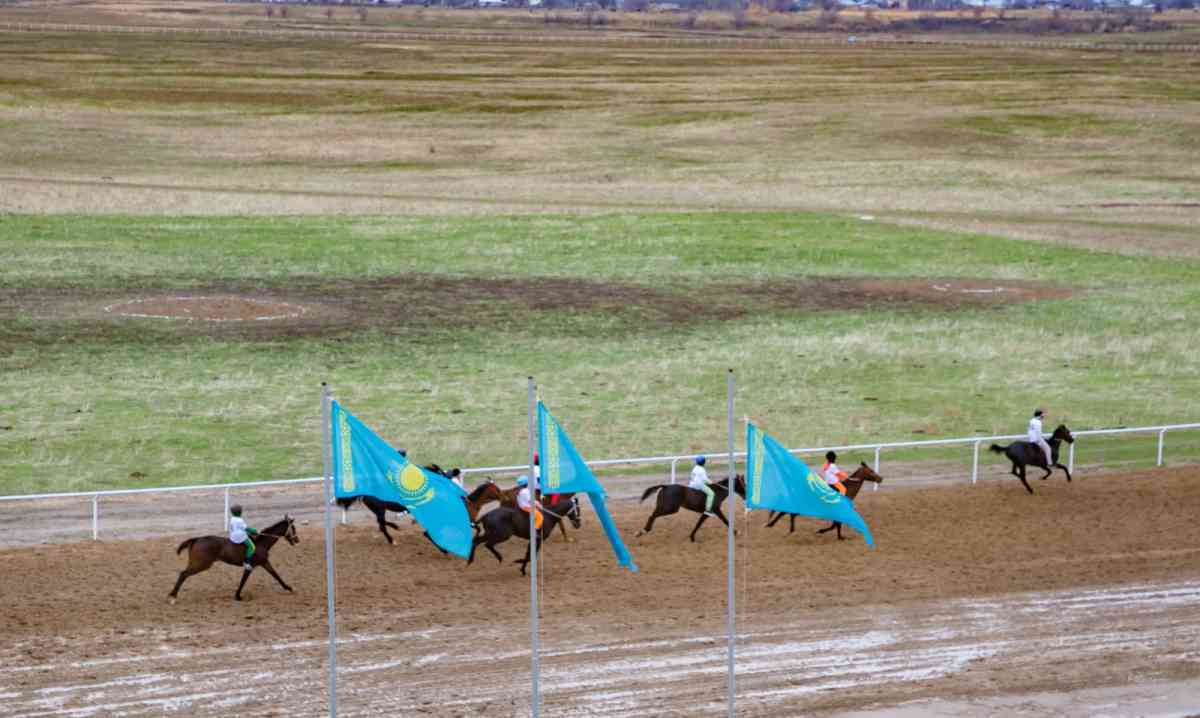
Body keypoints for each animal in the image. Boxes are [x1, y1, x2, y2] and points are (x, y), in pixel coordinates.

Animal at [169, 513, 300, 605]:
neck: (261, 543)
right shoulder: (251, 566)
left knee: (183, 574)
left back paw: (172, 595)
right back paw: (173, 597)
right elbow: (244, 581)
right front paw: (238, 596)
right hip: (201, 564)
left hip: (197, 563)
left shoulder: (264, 563)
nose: (297, 540)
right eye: (293, 528)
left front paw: (288, 588)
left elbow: (275, 575)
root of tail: (197, 539)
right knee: (183, 574)